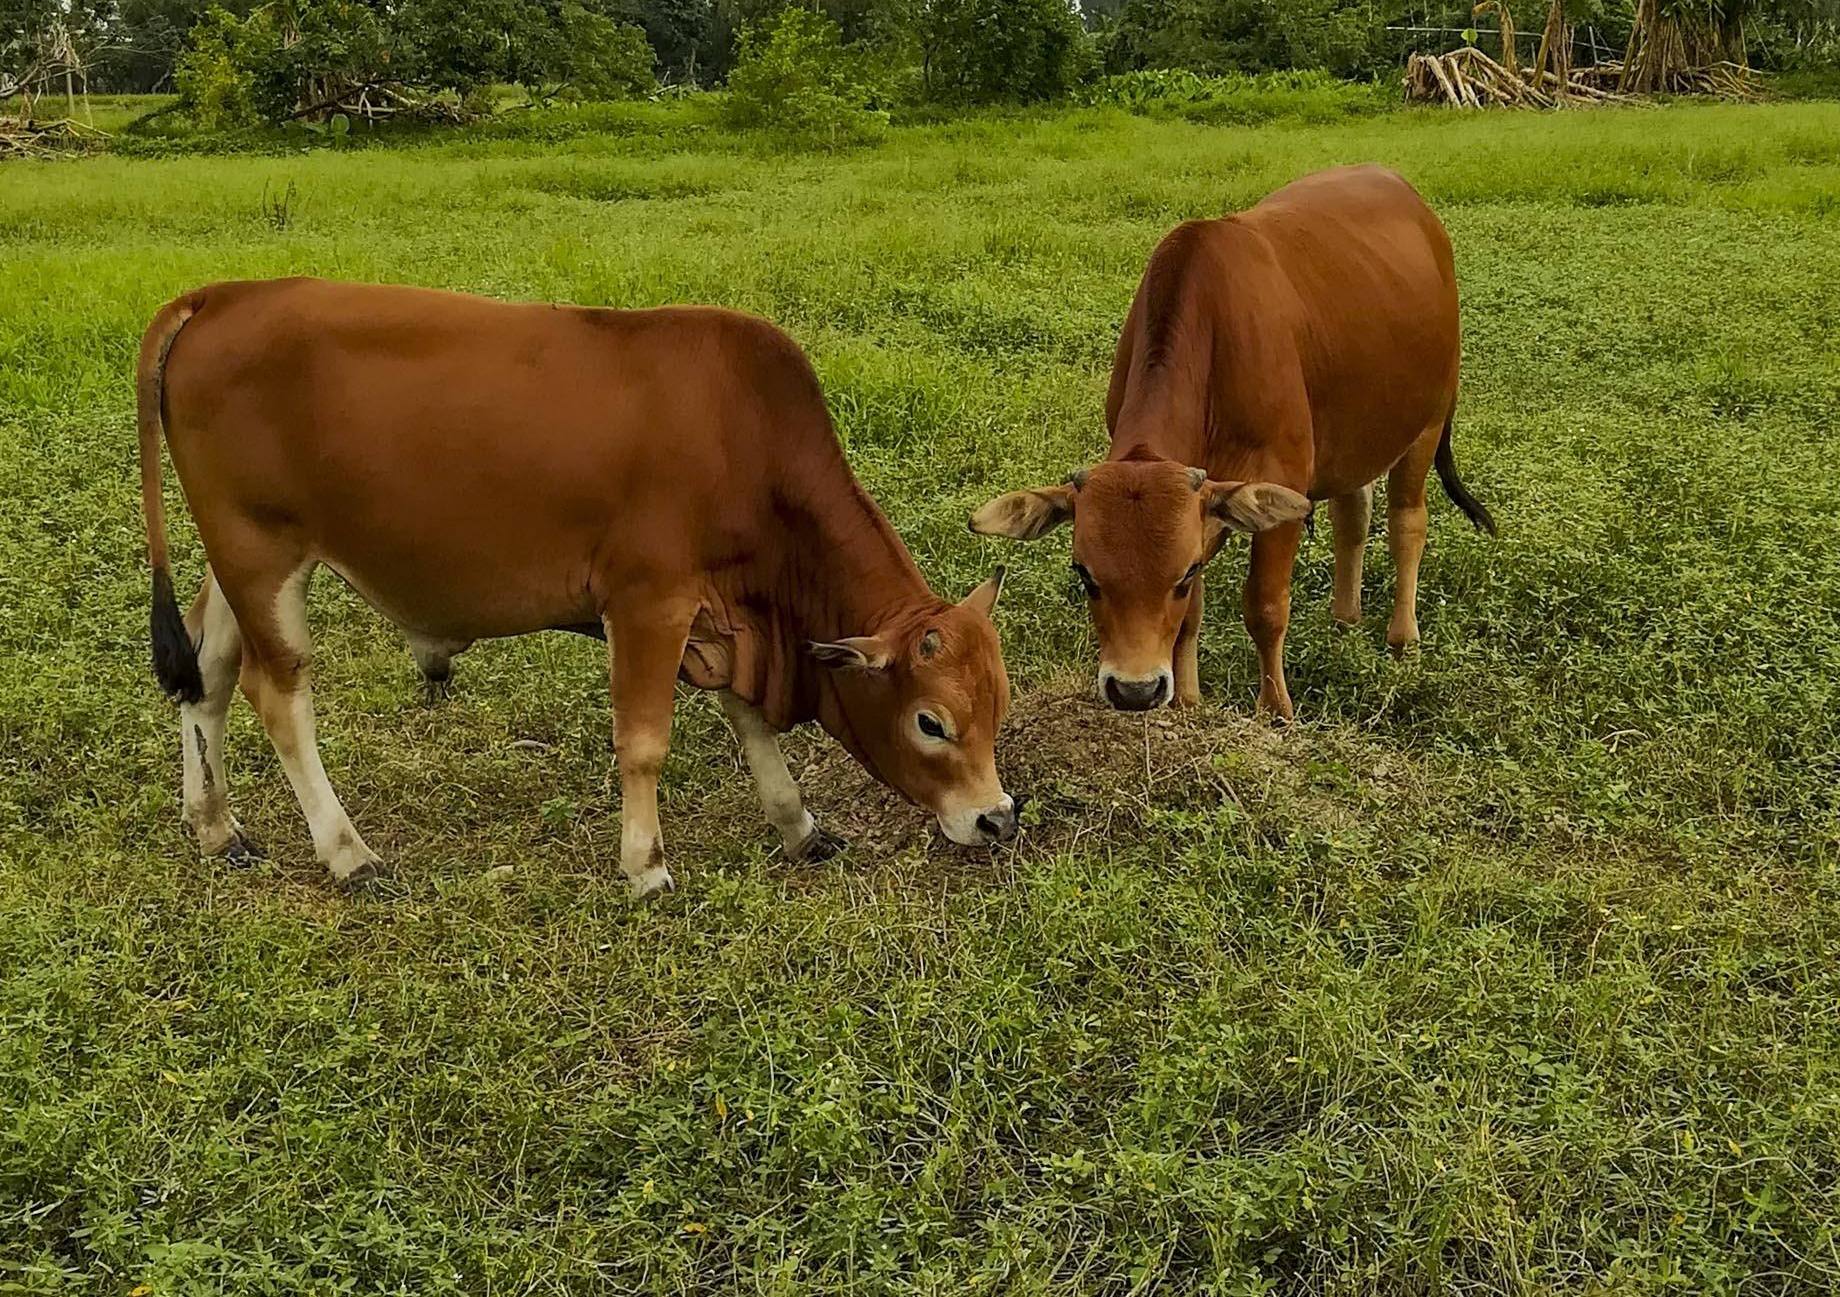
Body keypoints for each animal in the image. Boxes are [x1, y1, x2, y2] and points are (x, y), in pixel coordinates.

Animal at [139, 277, 1023, 894]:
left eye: (999, 706)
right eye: (931, 722)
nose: (997, 819)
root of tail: (219, 294)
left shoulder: (723, 617)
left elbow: (749, 726)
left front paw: (797, 824)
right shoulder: (647, 602)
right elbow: (645, 742)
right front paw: (646, 864)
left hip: (237, 562)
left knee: (207, 675)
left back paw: (216, 826)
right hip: (263, 555)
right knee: (278, 694)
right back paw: (348, 851)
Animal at [971, 162, 1486, 717]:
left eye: (1181, 575)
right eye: (1085, 574)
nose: (1134, 690)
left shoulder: (1281, 489)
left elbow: (1264, 607)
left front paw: (1276, 710)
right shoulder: (1205, 509)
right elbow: (1189, 620)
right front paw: (1188, 700)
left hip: (1427, 422)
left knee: (1407, 523)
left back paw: (1402, 638)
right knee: (1353, 514)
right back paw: (1344, 621)